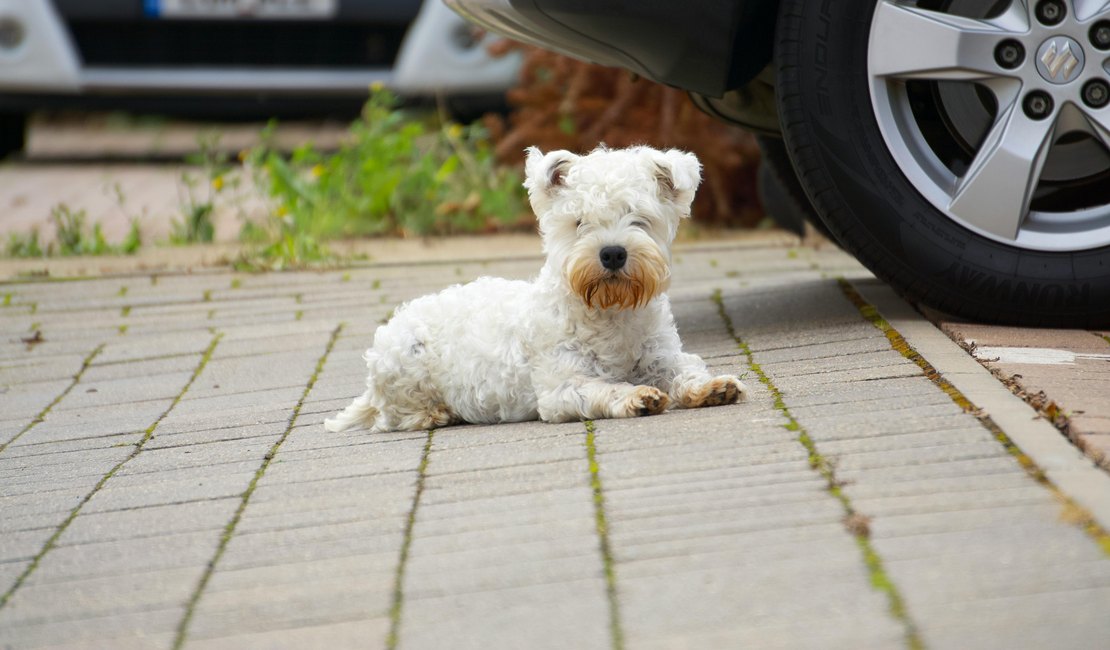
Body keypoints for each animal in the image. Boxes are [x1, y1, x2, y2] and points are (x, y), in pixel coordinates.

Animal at [324, 145, 750, 430]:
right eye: (579, 222)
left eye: (639, 218)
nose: (612, 254)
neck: (609, 312)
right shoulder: (561, 387)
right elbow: (603, 389)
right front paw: (635, 396)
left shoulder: (663, 358)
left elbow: (686, 372)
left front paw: (713, 387)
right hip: (404, 362)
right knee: (395, 415)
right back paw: (435, 413)